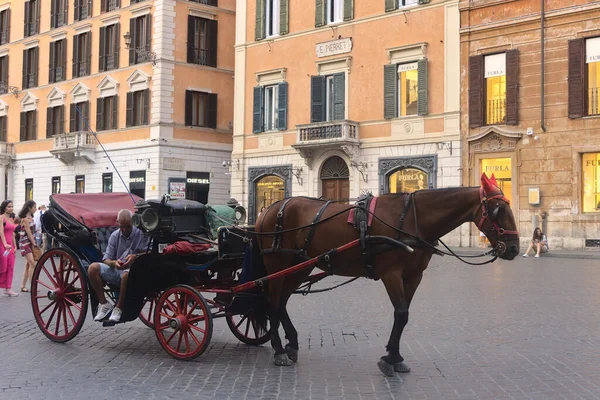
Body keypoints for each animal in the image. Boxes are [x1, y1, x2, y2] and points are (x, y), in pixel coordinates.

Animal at [253, 174, 520, 376]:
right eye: (497, 210)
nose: (514, 249)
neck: (412, 219)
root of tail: (269, 209)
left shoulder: (413, 276)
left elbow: (404, 315)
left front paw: (395, 356)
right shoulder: (390, 273)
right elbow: (400, 313)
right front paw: (390, 359)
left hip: (300, 265)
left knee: (282, 302)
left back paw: (292, 344)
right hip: (277, 263)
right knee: (272, 303)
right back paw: (279, 350)